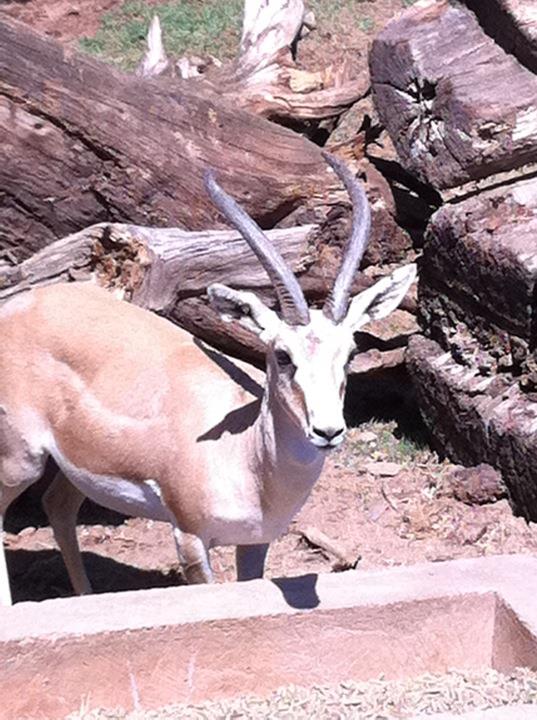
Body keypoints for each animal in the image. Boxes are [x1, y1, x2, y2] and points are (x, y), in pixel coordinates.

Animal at [0, 155, 415, 605]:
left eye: (351, 354)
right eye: (282, 355)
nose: (327, 431)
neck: (249, 459)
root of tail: (19, 305)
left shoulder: (255, 542)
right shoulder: (190, 539)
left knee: (57, 505)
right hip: (21, 460)